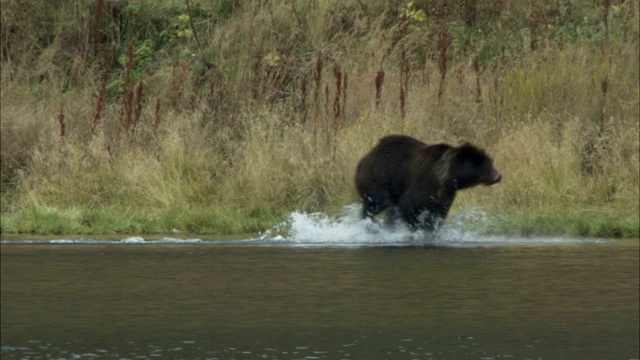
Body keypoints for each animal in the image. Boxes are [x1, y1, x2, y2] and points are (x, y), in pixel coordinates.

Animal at [356, 134, 500, 231]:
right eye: (483, 165)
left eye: (491, 163)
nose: (498, 176)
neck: (447, 179)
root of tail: (363, 159)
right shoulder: (423, 186)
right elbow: (408, 206)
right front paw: (417, 227)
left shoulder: (445, 196)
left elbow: (438, 214)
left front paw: (431, 228)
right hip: (378, 181)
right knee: (375, 205)